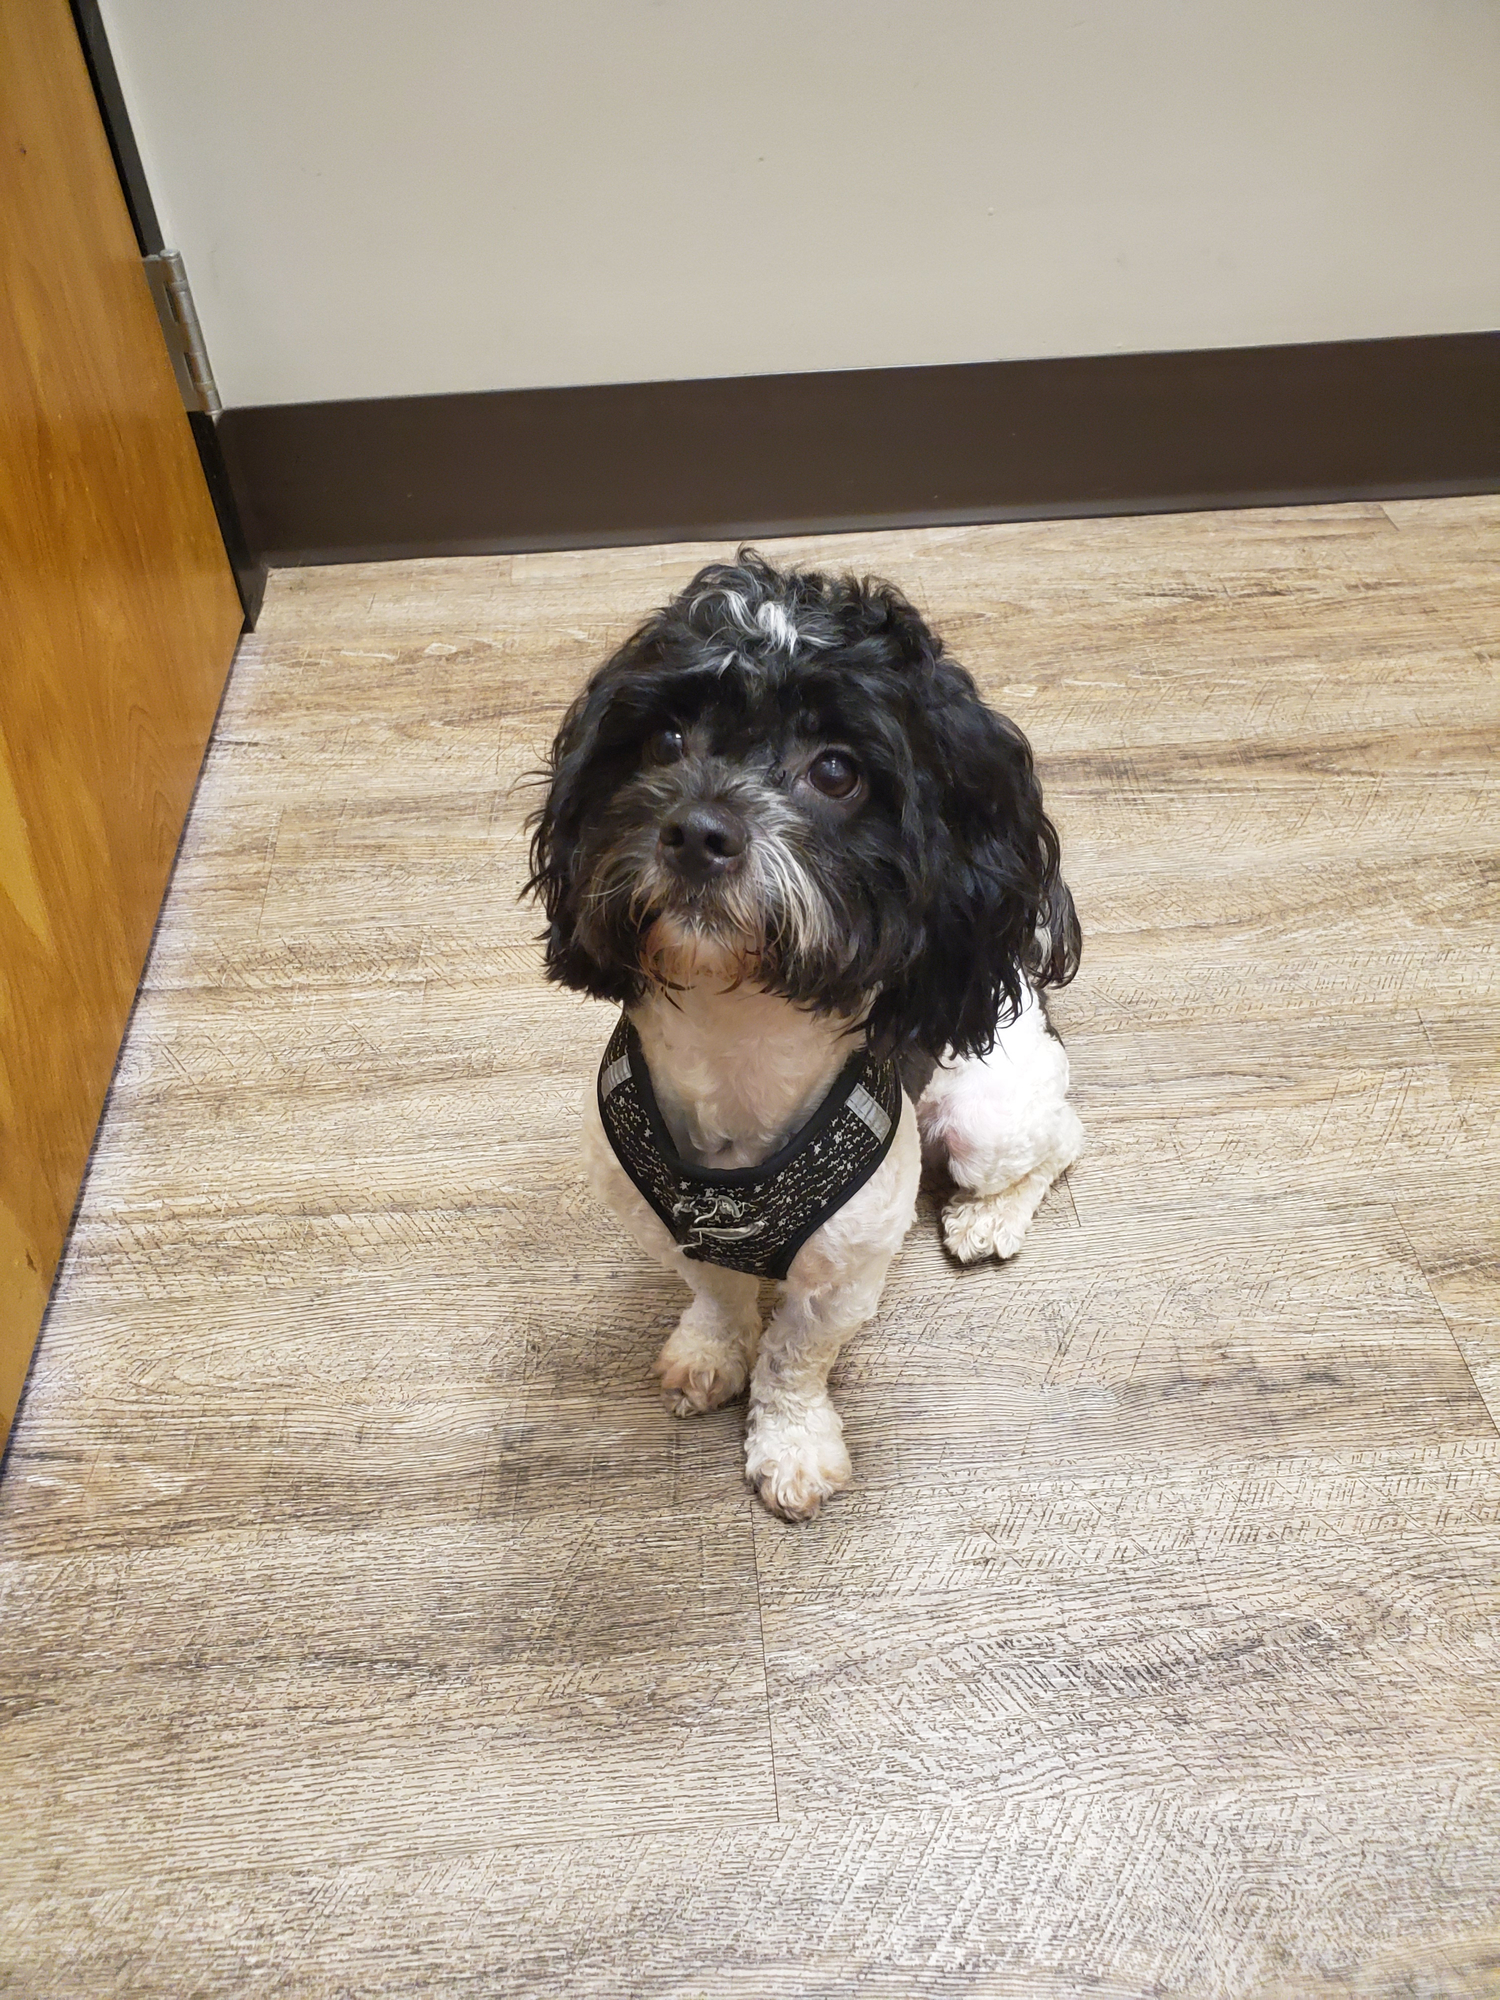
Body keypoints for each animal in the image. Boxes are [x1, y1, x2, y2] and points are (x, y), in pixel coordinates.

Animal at [527, 550, 1082, 1520]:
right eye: (665, 742)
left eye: (835, 771)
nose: (697, 830)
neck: (736, 1034)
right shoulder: (662, 1224)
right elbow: (717, 1297)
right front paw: (709, 1354)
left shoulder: (847, 1268)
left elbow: (794, 1356)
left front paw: (791, 1446)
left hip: (987, 1119)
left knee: (1062, 1141)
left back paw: (987, 1219)